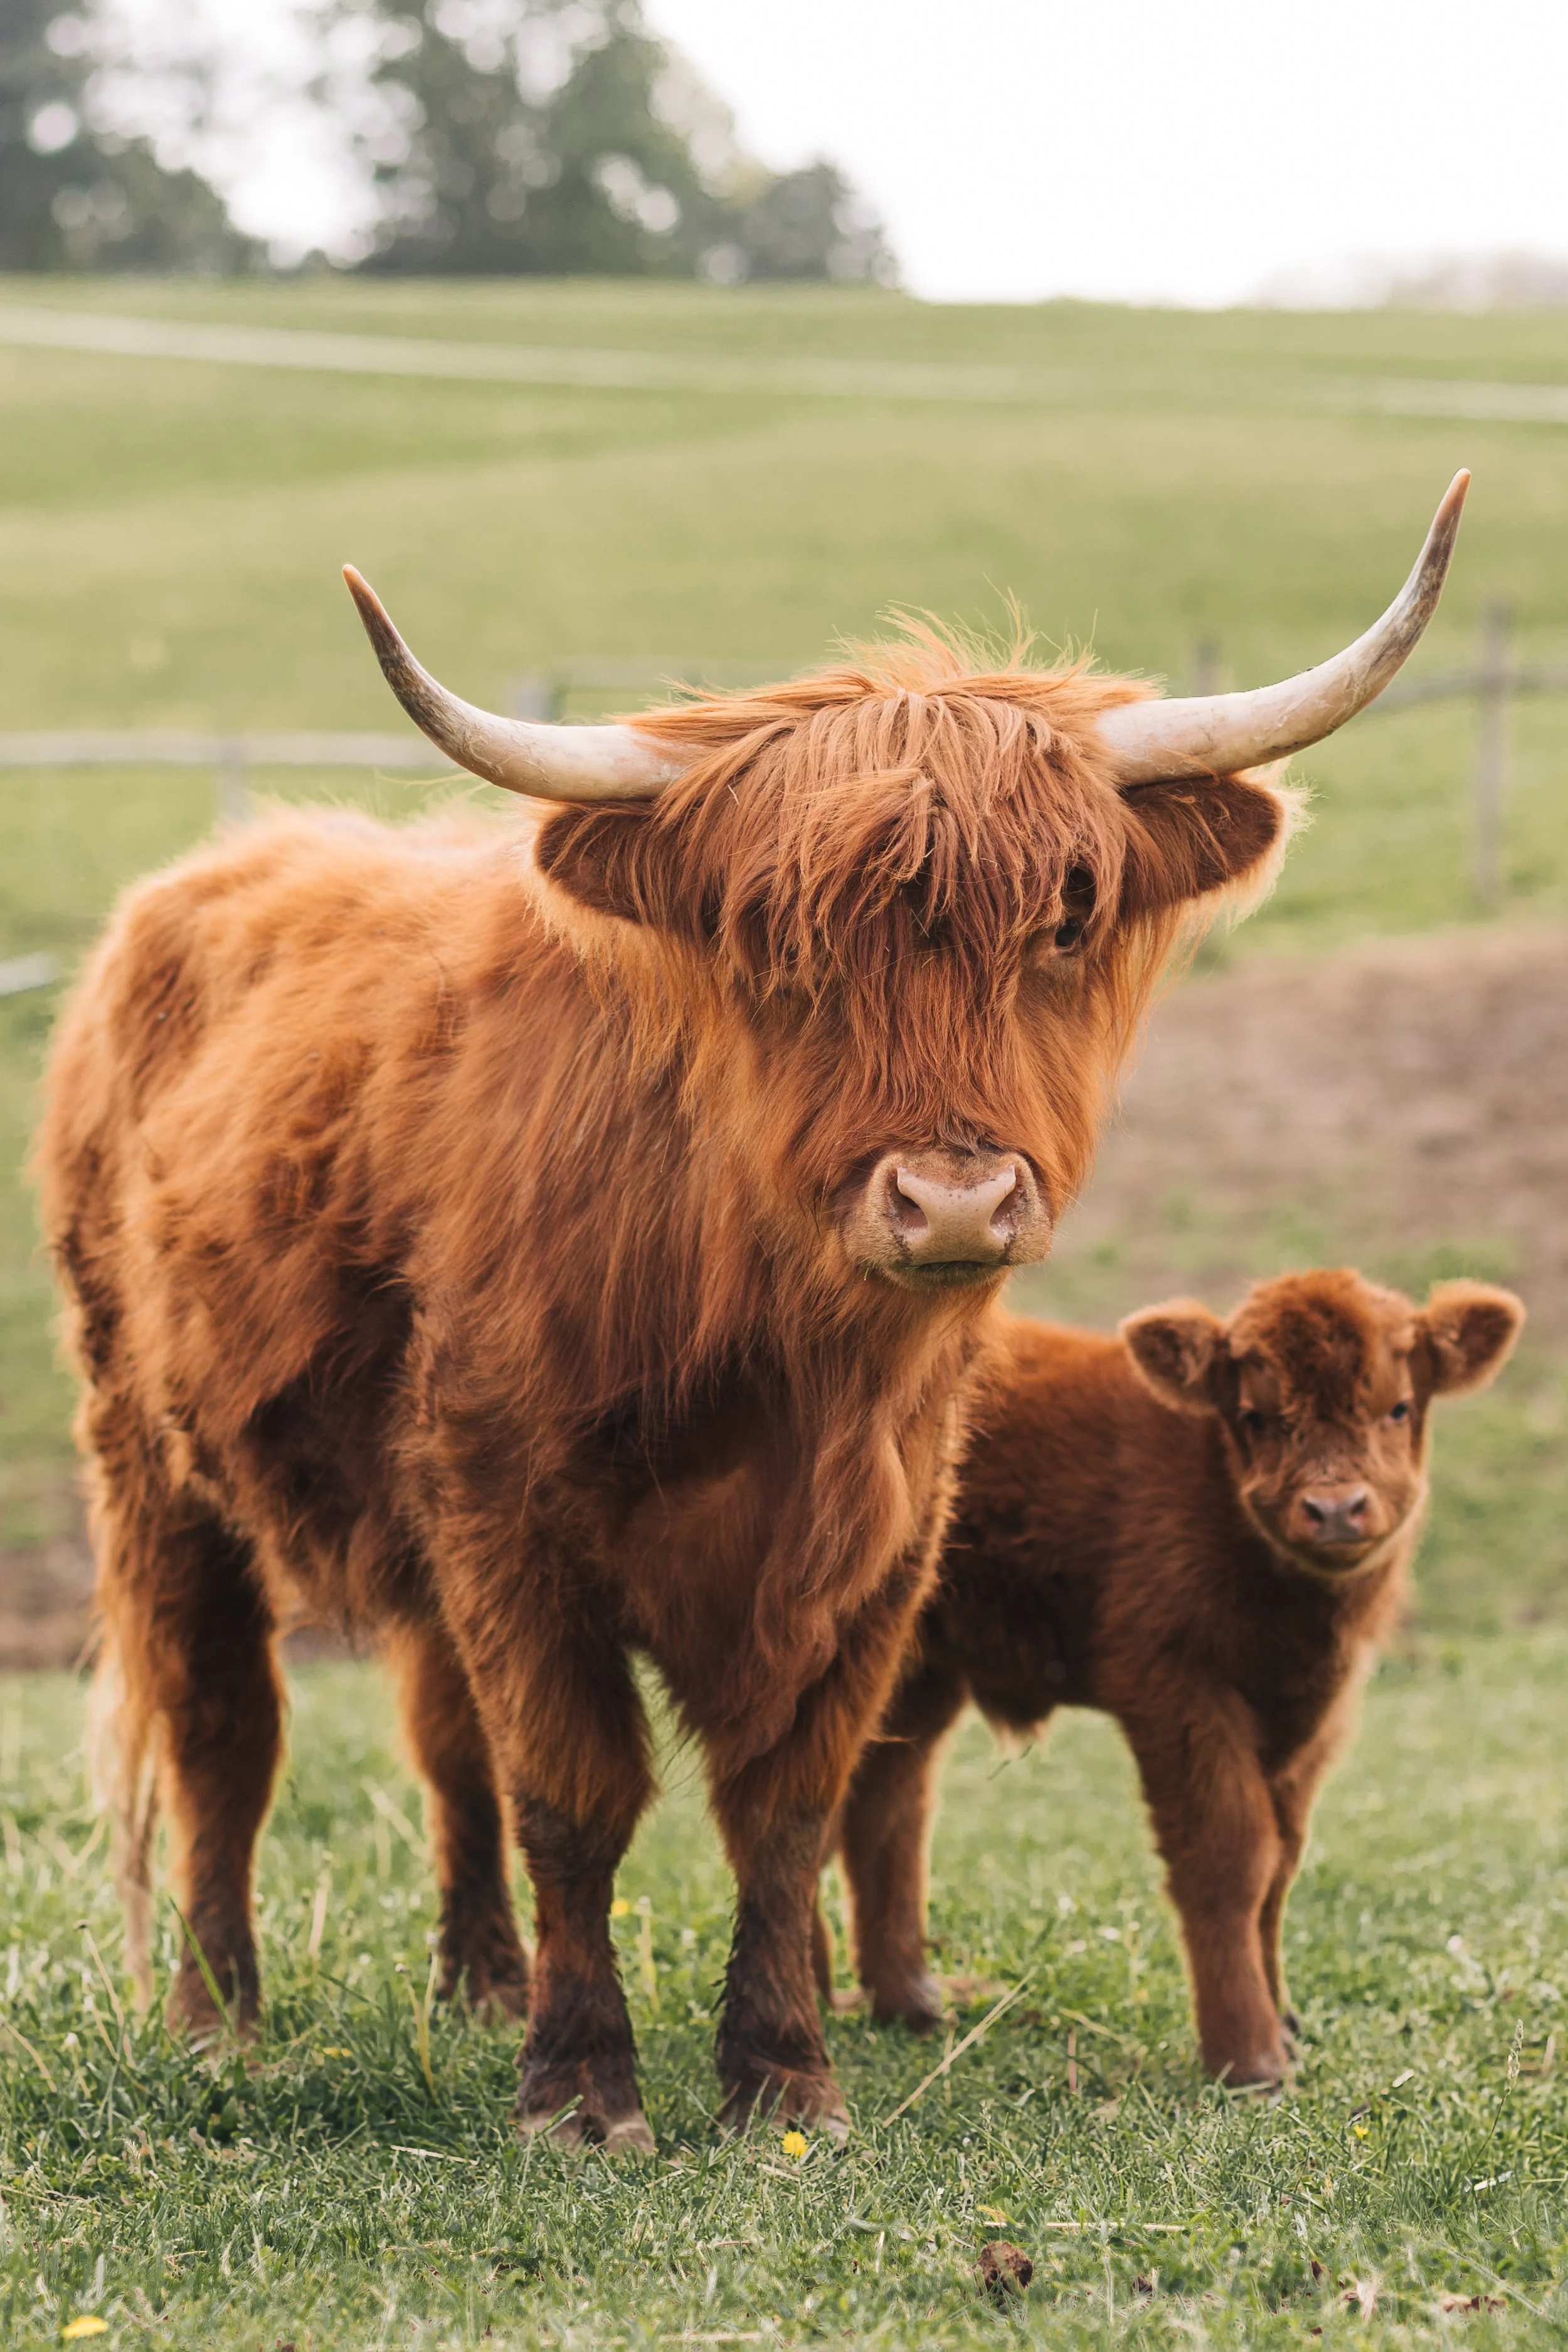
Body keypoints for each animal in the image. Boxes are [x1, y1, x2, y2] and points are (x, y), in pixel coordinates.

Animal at [824, 1269, 1523, 2087]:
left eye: (1398, 1407)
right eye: (1254, 1416)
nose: (1333, 1509)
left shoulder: (1311, 1718)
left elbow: (1280, 1865)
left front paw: (1284, 2026)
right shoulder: (1178, 1689)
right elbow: (1230, 1857)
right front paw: (1249, 2056)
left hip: (917, 1674)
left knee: (885, 1803)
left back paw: (907, 2001)